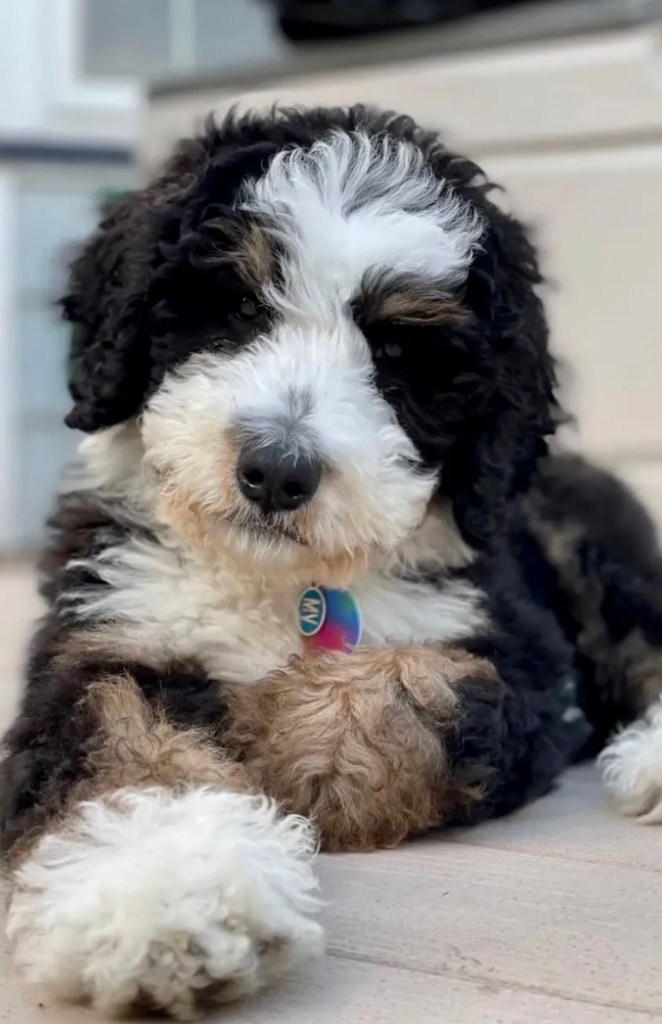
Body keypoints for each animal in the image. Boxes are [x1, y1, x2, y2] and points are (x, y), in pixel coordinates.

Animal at [1, 104, 661, 1019]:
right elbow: (122, 748)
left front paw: (286, 745)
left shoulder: (520, 656)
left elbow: (401, 691)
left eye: (397, 357)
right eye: (237, 310)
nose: (279, 470)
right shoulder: (105, 634)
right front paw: (171, 895)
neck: (273, 581)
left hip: (587, 558)